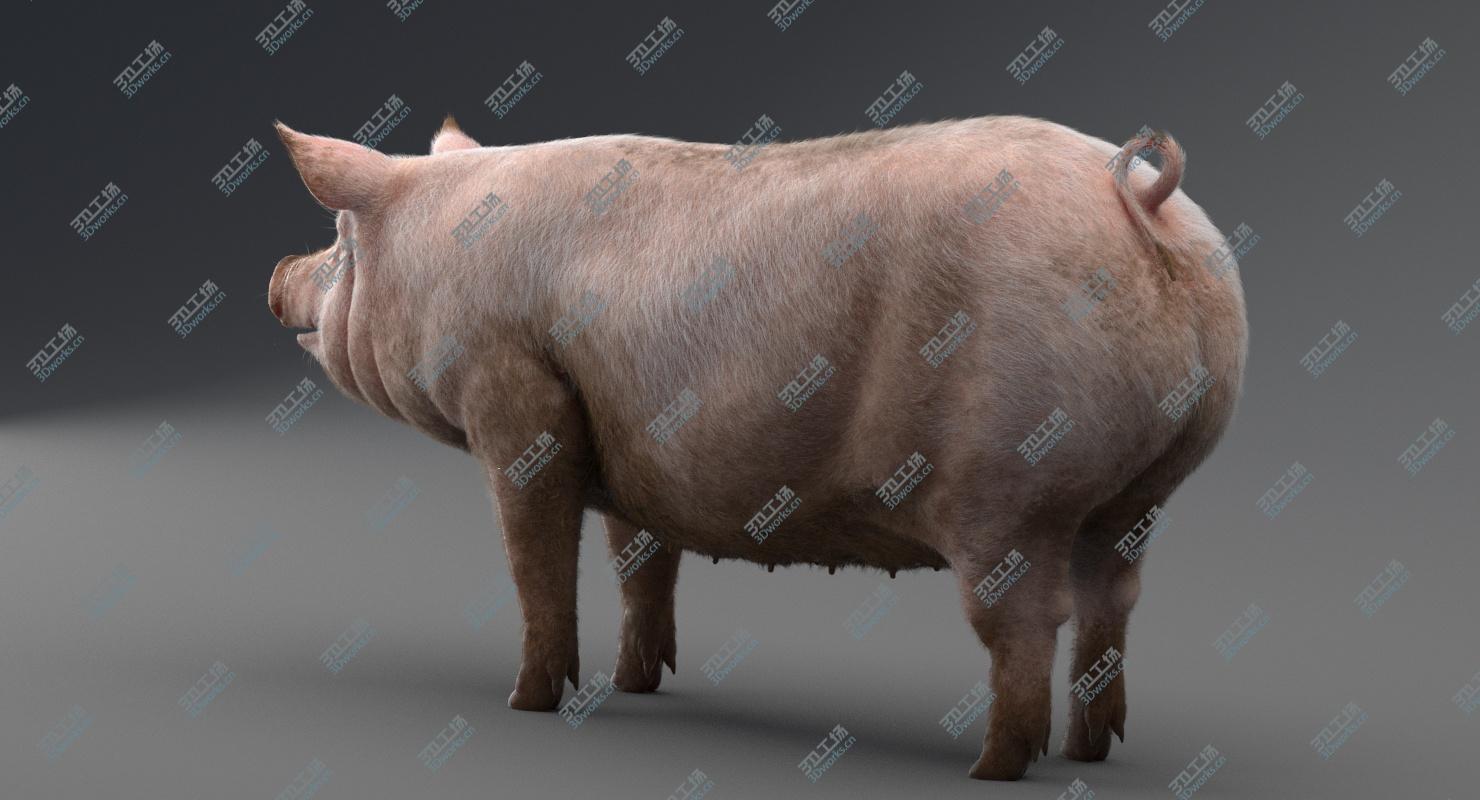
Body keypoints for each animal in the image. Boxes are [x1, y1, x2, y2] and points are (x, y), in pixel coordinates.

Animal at [267, 113, 1246, 780]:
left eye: (340, 241)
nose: (277, 276)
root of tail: (1138, 199)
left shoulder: (513, 398)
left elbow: (536, 561)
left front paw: (529, 703)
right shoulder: (635, 453)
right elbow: (640, 565)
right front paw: (637, 685)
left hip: (1011, 484)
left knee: (1030, 620)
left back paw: (994, 769)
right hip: (1141, 492)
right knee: (1114, 600)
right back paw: (1091, 752)